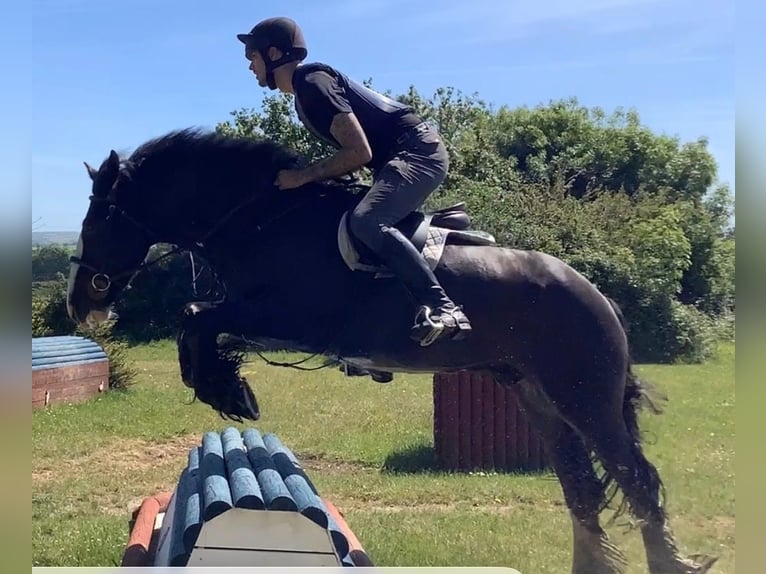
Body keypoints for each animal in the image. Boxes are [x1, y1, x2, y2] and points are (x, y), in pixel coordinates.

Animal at [66, 127, 716, 574]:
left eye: (98, 223)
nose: (79, 305)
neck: (263, 221)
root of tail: (596, 294)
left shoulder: (290, 318)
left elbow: (198, 319)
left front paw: (230, 391)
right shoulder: (262, 319)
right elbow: (198, 324)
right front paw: (228, 389)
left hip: (585, 398)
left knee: (637, 482)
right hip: (540, 401)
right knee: (582, 486)